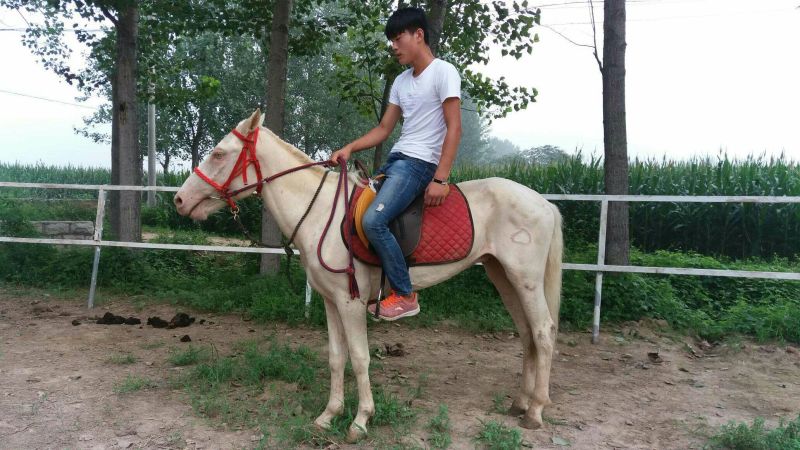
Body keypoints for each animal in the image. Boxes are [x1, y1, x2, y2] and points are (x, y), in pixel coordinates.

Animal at [174, 109, 563, 442]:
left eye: (219, 154)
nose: (179, 200)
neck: (320, 214)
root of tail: (545, 204)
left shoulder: (351, 302)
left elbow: (360, 358)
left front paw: (360, 421)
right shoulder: (330, 302)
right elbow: (336, 357)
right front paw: (328, 415)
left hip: (524, 280)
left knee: (543, 333)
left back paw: (535, 411)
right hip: (503, 277)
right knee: (527, 334)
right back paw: (520, 403)